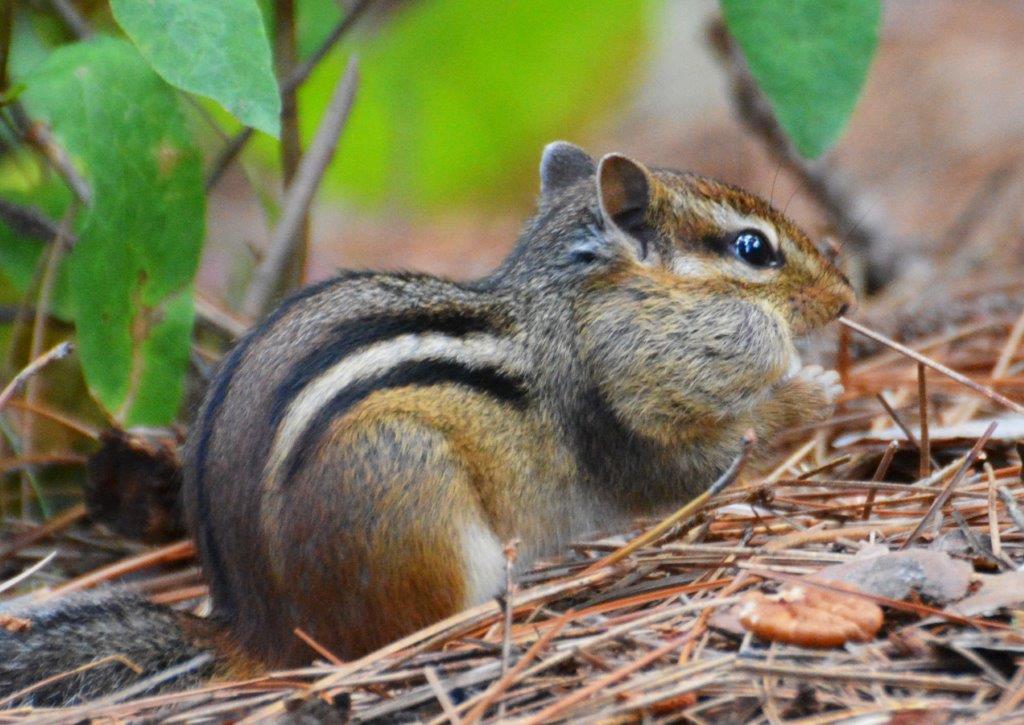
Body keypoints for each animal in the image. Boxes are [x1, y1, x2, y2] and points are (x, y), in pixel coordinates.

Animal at [0, 142, 854, 706]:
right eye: (753, 249)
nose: (846, 298)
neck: (571, 307)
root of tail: (258, 628)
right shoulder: (615, 417)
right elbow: (685, 467)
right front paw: (809, 392)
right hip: (415, 495)